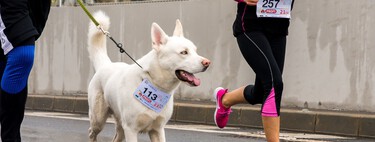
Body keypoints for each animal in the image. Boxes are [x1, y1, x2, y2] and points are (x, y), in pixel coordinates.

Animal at [87, 11, 212, 142]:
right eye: (184, 52)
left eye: (195, 51)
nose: (207, 63)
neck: (153, 82)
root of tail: (105, 64)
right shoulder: (131, 130)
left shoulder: (158, 130)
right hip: (98, 120)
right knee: (91, 133)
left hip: (120, 126)